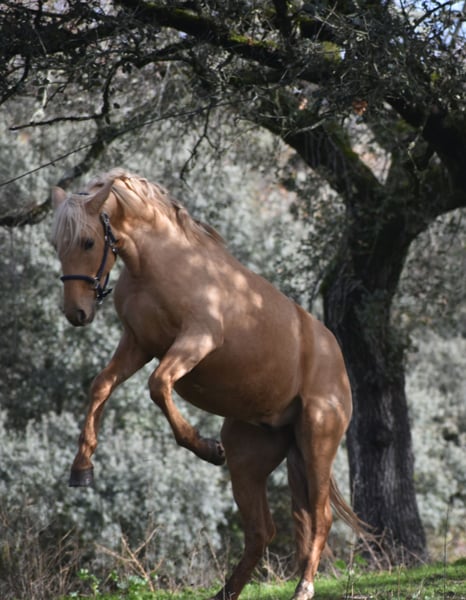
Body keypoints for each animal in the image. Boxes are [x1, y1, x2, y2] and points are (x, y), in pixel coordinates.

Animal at [51, 168, 362, 600]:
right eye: (57, 244)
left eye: (88, 241)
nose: (76, 313)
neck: (161, 266)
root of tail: (334, 354)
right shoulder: (137, 344)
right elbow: (100, 387)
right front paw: (82, 467)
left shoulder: (196, 339)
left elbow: (158, 385)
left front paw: (206, 448)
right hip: (251, 457)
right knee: (263, 531)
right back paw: (227, 591)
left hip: (318, 440)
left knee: (321, 517)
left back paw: (304, 586)